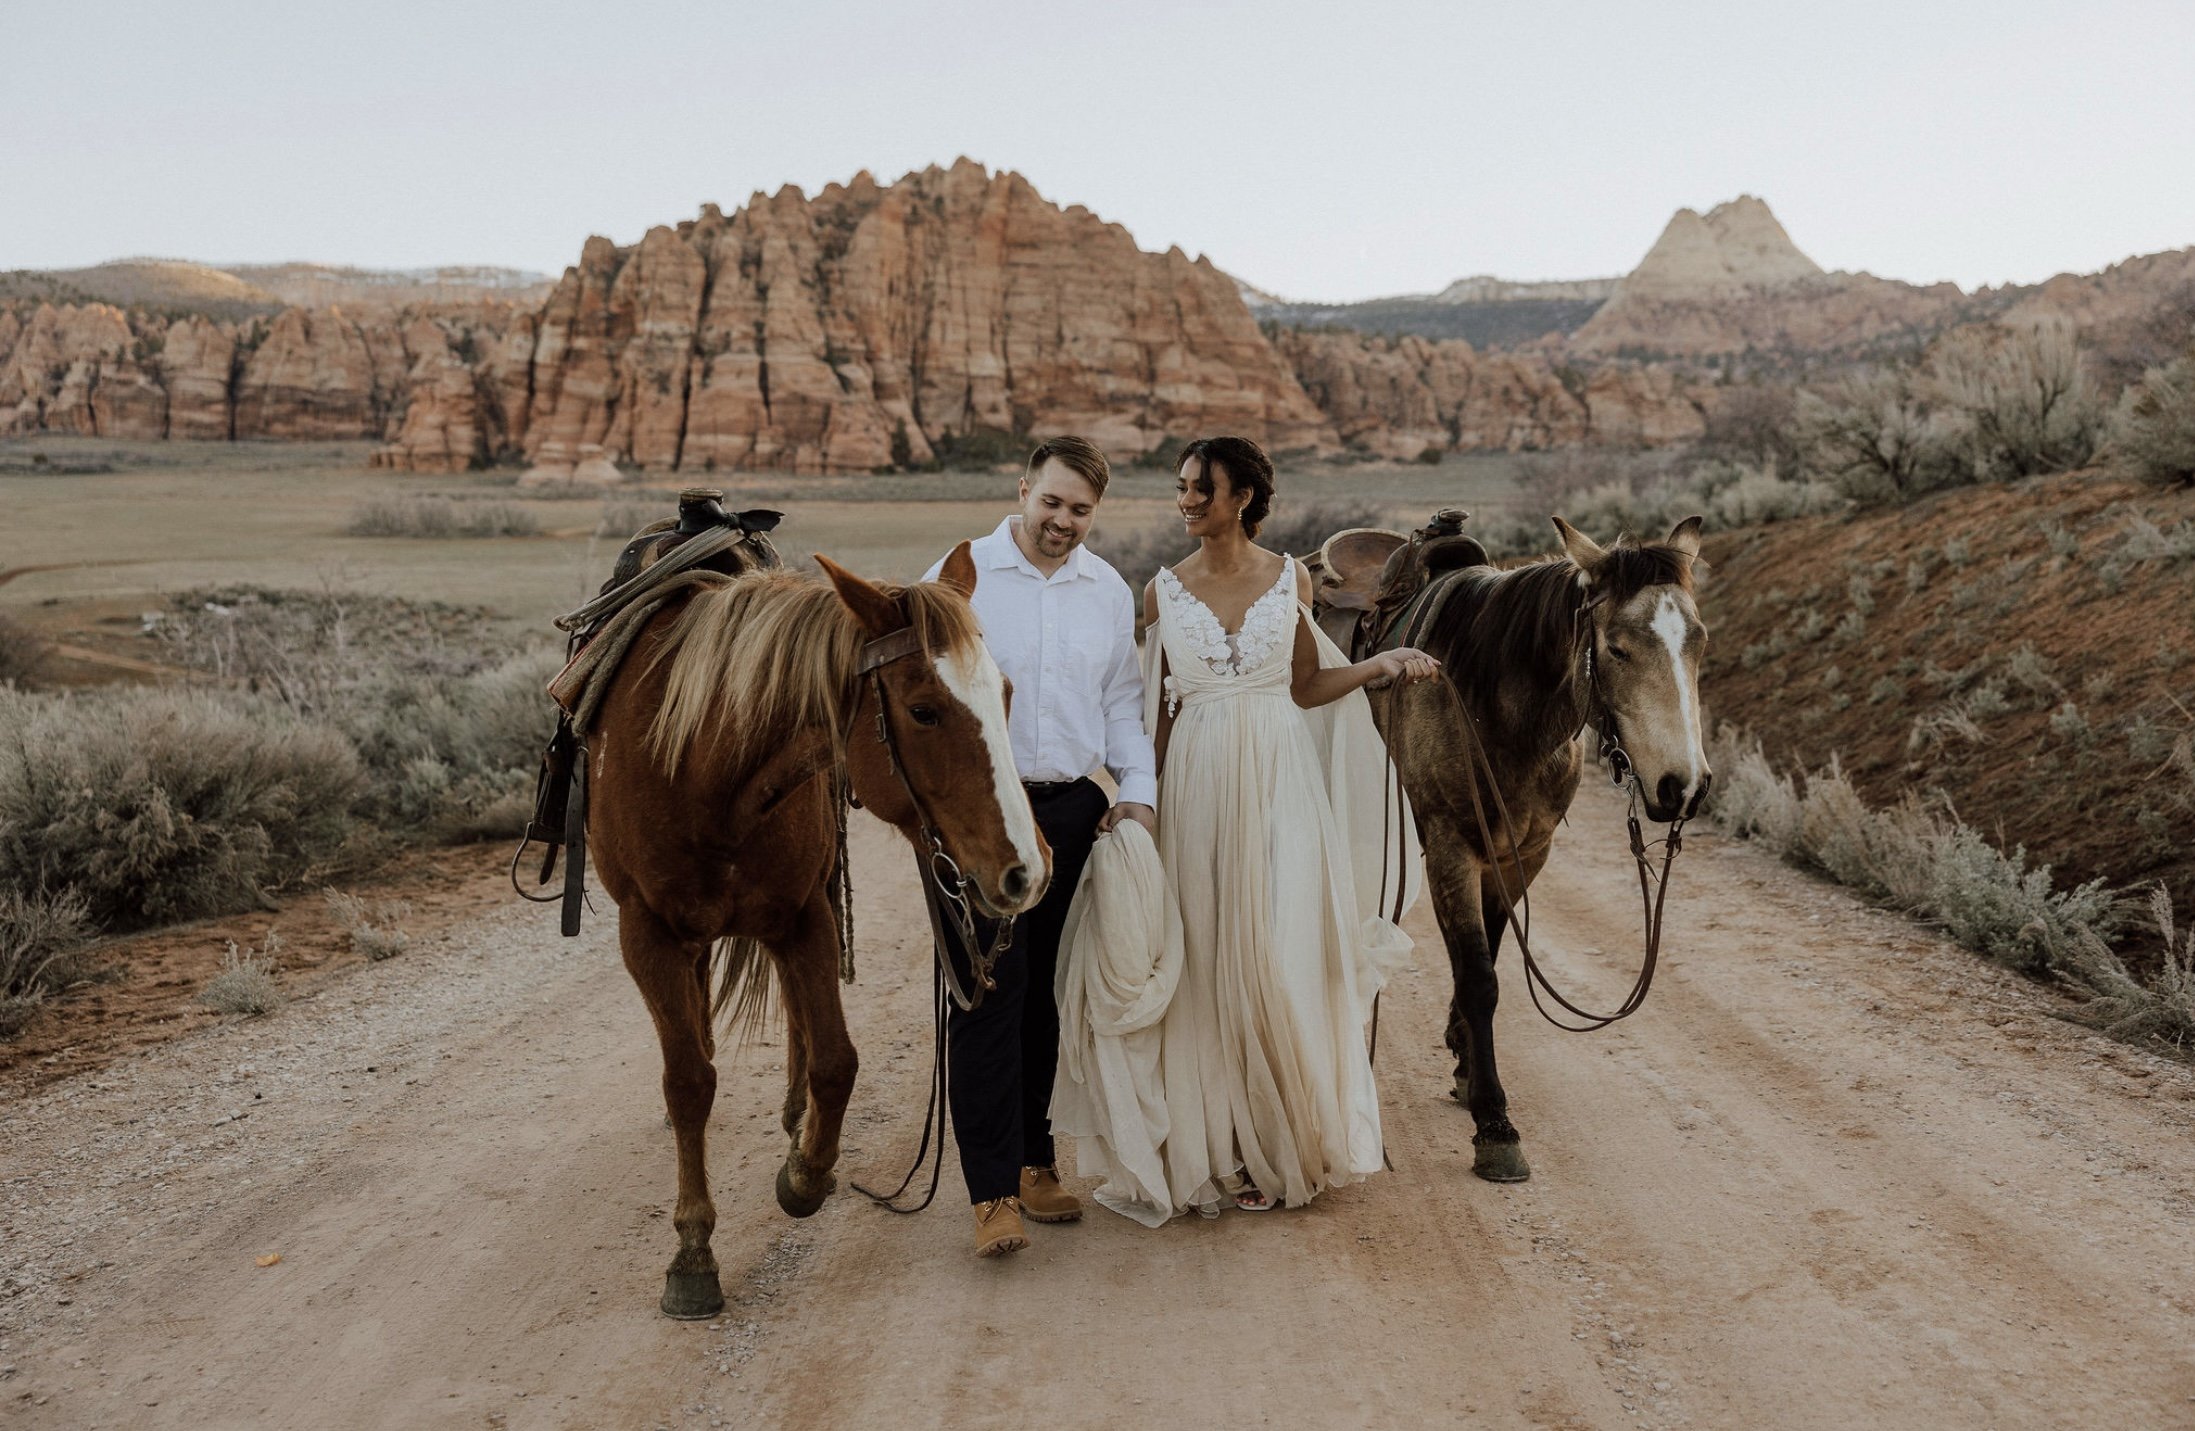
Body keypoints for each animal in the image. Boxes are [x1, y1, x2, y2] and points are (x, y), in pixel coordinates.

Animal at [583, 544, 1044, 1316]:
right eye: (922, 710)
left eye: (1005, 692)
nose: (1027, 872)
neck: (702, 760)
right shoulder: (645, 933)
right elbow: (688, 1081)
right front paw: (692, 1251)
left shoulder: (803, 914)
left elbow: (836, 1061)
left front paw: (805, 1173)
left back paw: (796, 1118)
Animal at [1308, 513, 1703, 1185]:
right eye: (1618, 648)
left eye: (1698, 642)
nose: (1684, 786)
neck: (1495, 700)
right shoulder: (1451, 845)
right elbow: (1478, 976)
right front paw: (1494, 1123)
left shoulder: (1525, 851)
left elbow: (1490, 952)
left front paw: (1466, 1063)